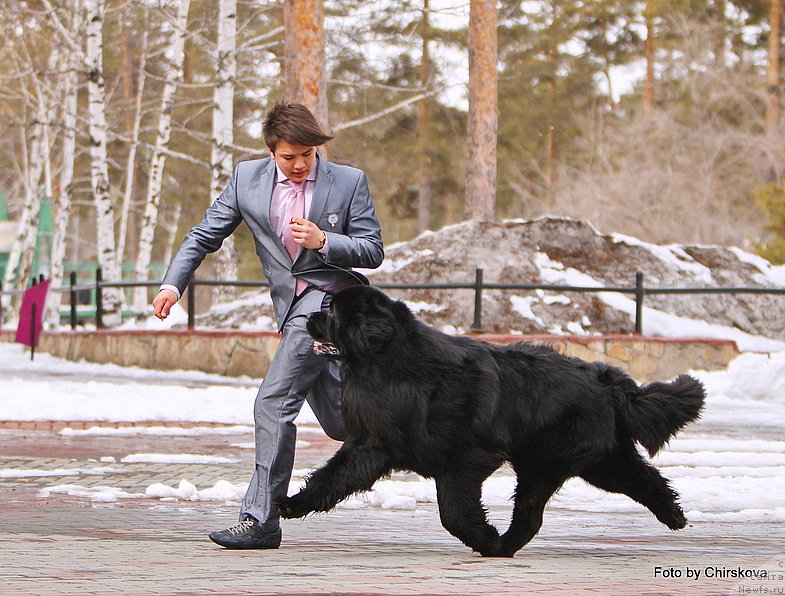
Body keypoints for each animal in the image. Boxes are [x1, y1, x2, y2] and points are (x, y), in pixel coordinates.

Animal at [276, 286, 704, 556]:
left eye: (332, 311)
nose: (309, 316)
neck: (389, 366)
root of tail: (608, 380)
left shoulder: (465, 459)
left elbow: (454, 512)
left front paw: (481, 536)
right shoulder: (372, 445)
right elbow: (332, 478)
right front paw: (290, 504)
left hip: (546, 463)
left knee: (531, 514)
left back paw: (500, 546)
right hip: (599, 460)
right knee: (644, 479)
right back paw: (676, 516)